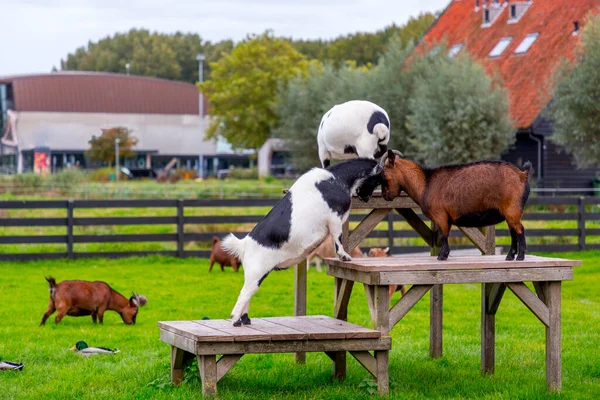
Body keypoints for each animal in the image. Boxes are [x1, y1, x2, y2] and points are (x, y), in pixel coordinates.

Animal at [221, 158, 384, 326]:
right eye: (378, 180)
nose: (367, 198)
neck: (338, 178)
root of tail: (244, 244)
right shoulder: (334, 218)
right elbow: (337, 238)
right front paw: (345, 257)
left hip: (252, 273)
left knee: (247, 294)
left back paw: (246, 321)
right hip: (256, 272)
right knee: (244, 294)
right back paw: (235, 320)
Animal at [378, 149, 532, 260]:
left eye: (384, 173)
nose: (385, 195)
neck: (425, 184)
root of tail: (522, 174)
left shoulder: (440, 215)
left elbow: (443, 236)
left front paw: (442, 256)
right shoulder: (446, 218)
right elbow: (445, 235)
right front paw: (444, 254)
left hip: (512, 210)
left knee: (520, 230)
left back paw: (520, 257)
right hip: (509, 213)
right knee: (513, 233)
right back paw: (510, 257)